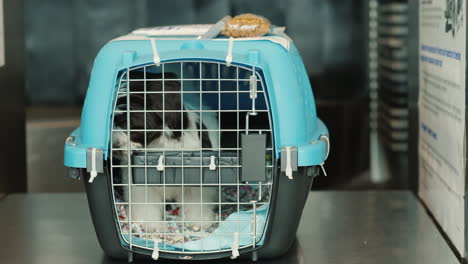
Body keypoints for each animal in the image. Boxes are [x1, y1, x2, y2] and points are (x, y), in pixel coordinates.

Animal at [112, 71, 218, 232]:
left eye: (125, 122)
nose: (114, 147)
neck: (158, 143)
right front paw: (149, 224)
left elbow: (197, 200)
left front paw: (200, 221)